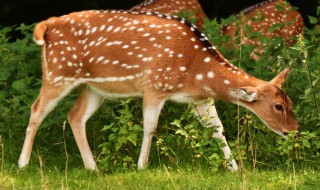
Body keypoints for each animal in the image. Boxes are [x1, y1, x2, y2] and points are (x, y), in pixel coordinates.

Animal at [18, 10, 300, 171]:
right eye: (278, 106)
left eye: (291, 103)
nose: (294, 130)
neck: (196, 71)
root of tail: (46, 25)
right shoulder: (155, 85)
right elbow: (150, 126)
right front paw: (141, 166)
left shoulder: (200, 98)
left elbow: (217, 130)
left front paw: (234, 169)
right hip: (58, 72)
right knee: (36, 110)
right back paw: (23, 164)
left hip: (93, 87)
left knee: (75, 116)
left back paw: (92, 167)